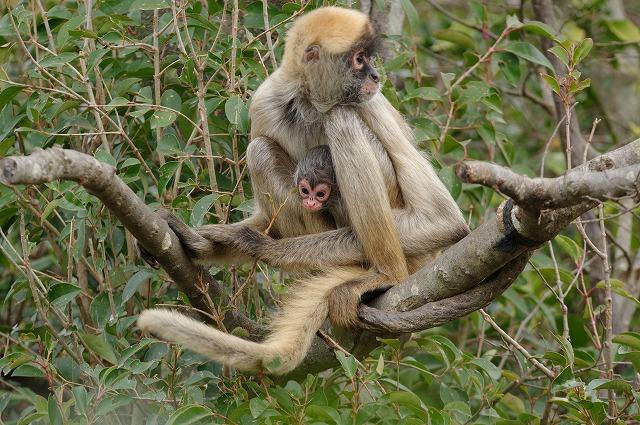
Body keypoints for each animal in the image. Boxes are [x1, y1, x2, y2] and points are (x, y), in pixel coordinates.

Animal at [139, 6, 470, 374]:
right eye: (359, 60)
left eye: (368, 60)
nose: (374, 76)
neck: (313, 105)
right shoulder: (264, 103)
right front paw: (201, 243)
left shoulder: (369, 102)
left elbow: (443, 221)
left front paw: (260, 246)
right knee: (261, 149)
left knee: (341, 119)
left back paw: (386, 274)